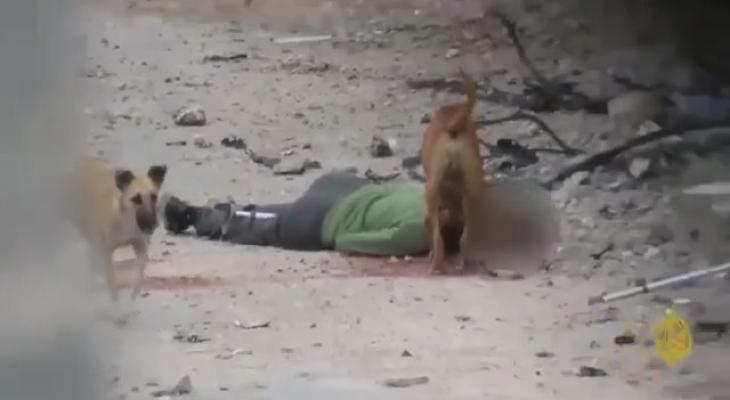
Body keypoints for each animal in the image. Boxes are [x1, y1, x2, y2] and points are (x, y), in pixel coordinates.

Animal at [65, 157, 167, 301]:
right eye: (136, 199)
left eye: (154, 197)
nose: (151, 225)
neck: (126, 220)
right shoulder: (107, 253)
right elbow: (113, 288)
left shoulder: (140, 247)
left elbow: (138, 280)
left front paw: (132, 300)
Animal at [421, 69, 484, 274]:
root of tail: (454, 124)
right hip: (473, 194)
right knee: (466, 238)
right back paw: (462, 263)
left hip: (431, 192)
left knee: (438, 240)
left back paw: (435, 268)